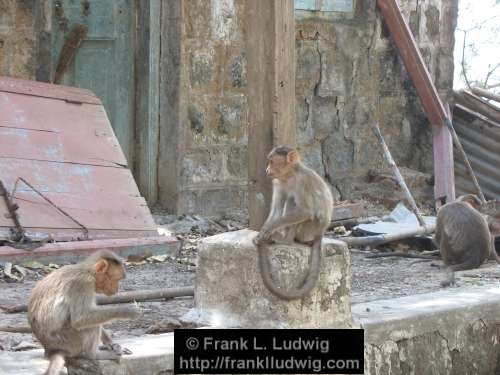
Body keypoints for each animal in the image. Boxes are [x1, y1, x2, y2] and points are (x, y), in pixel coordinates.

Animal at [254, 145, 332, 302]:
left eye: (271, 161)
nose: (267, 170)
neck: (289, 176)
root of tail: (321, 232)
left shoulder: (302, 182)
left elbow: (306, 211)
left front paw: (268, 231)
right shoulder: (277, 182)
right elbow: (276, 211)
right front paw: (264, 231)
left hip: (309, 228)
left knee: (293, 201)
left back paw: (286, 240)